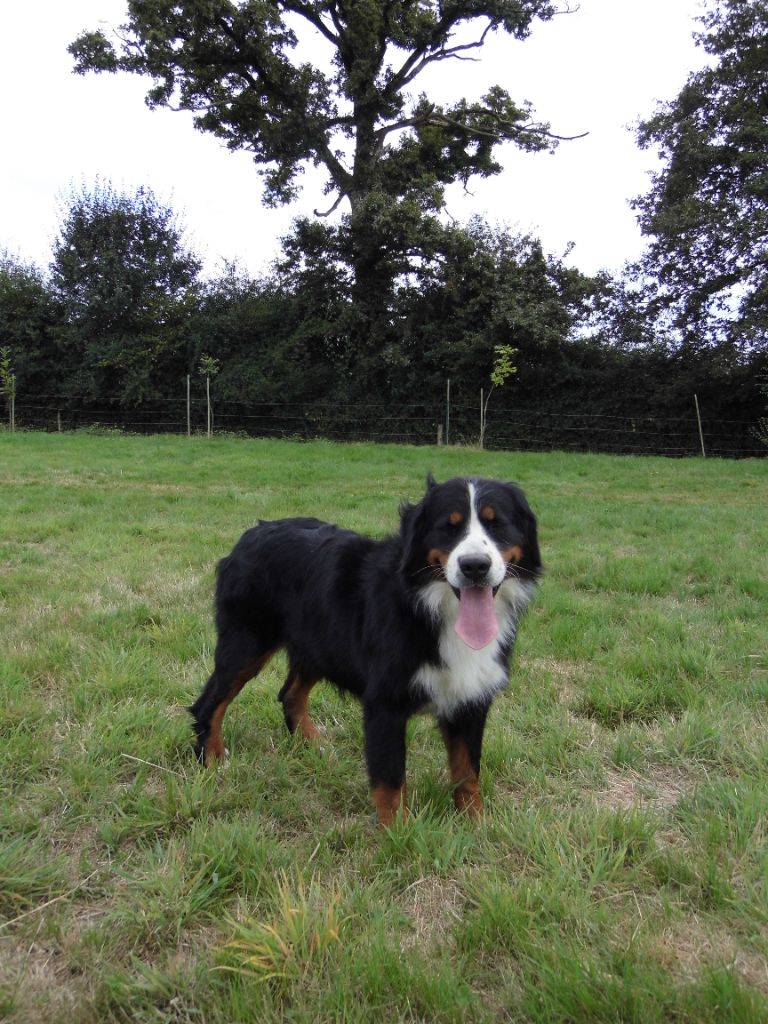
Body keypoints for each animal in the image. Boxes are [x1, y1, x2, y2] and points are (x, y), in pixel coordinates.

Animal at [191, 477, 540, 823]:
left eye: (497, 525)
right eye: (448, 527)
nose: (475, 566)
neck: (432, 608)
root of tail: (252, 533)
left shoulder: (469, 698)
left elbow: (467, 772)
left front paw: (475, 824)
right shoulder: (384, 703)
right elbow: (391, 782)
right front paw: (399, 833)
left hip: (320, 644)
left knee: (290, 695)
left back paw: (314, 745)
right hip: (246, 643)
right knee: (210, 703)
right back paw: (213, 761)